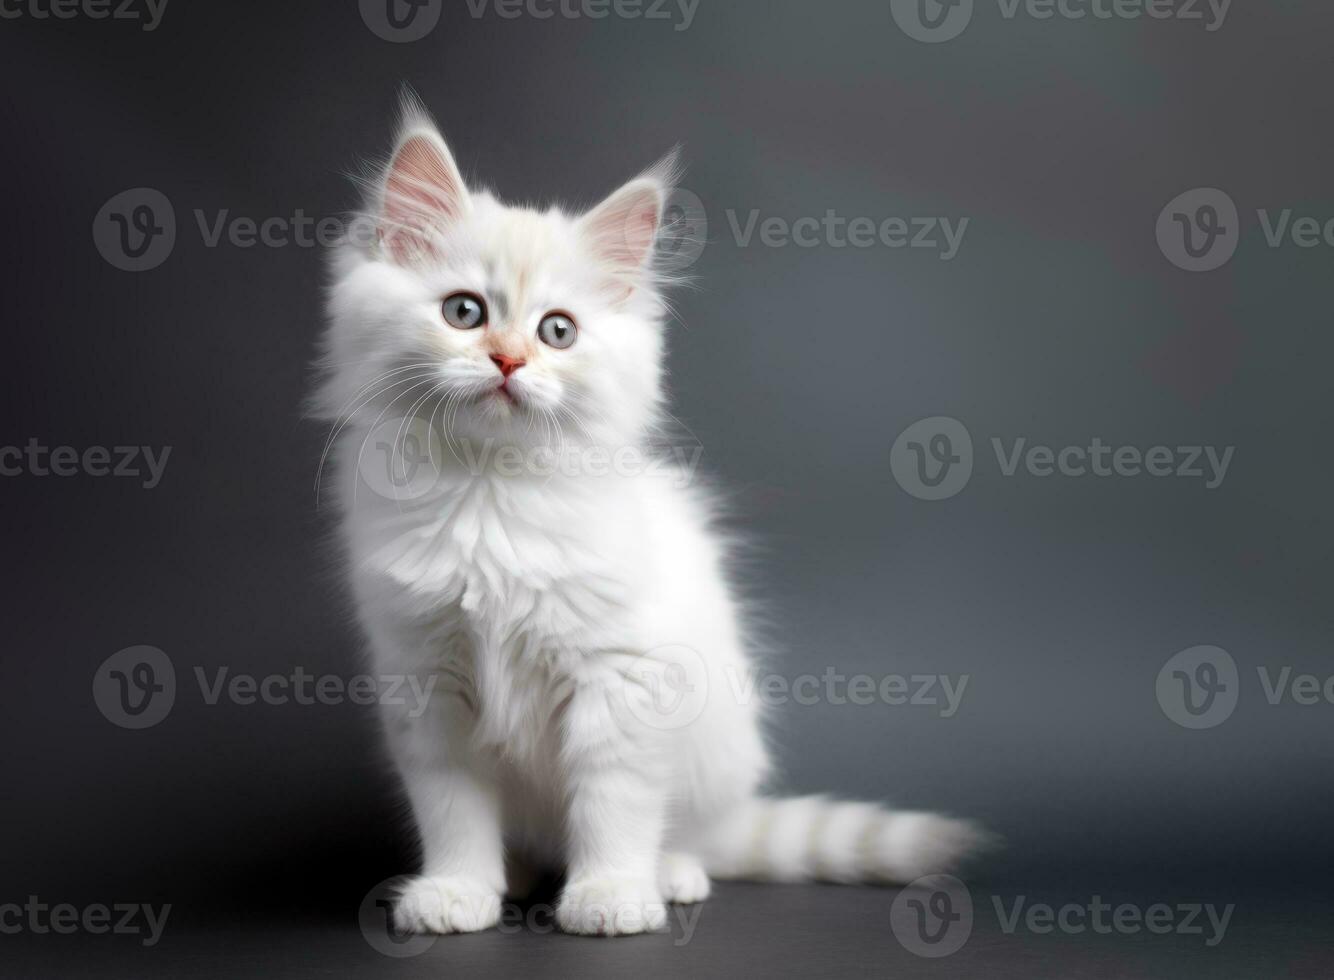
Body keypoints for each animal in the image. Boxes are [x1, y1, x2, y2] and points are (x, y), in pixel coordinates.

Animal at [309, 96, 981, 938]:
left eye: (557, 330)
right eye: (465, 312)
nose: (508, 361)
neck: (492, 494)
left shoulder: (621, 677)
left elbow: (613, 802)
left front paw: (610, 897)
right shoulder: (428, 683)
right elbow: (454, 809)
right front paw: (459, 892)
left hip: (714, 748)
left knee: (683, 832)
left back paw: (669, 874)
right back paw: (519, 876)